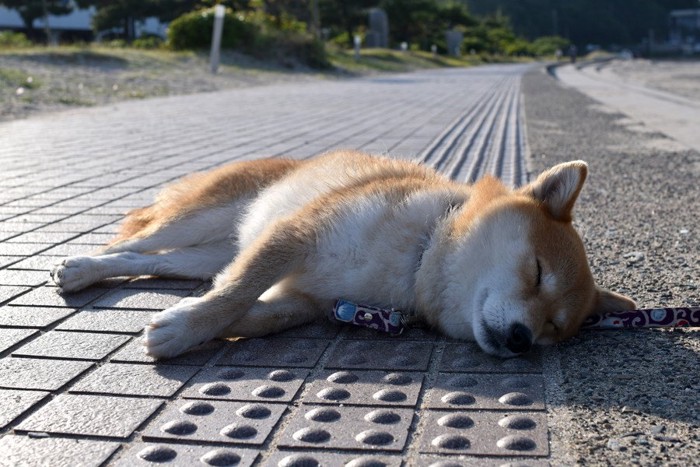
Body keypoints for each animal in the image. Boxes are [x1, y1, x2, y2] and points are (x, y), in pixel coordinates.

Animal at [52, 150, 636, 358]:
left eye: (554, 329)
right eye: (536, 273)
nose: (521, 341)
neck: (417, 256)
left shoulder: (311, 300)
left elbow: (250, 312)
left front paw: (186, 322)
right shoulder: (296, 236)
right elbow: (236, 293)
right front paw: (184, 328)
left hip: (207, 252)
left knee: (149, 262)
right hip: (203, 216)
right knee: (132, 242)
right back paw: (80, 266)